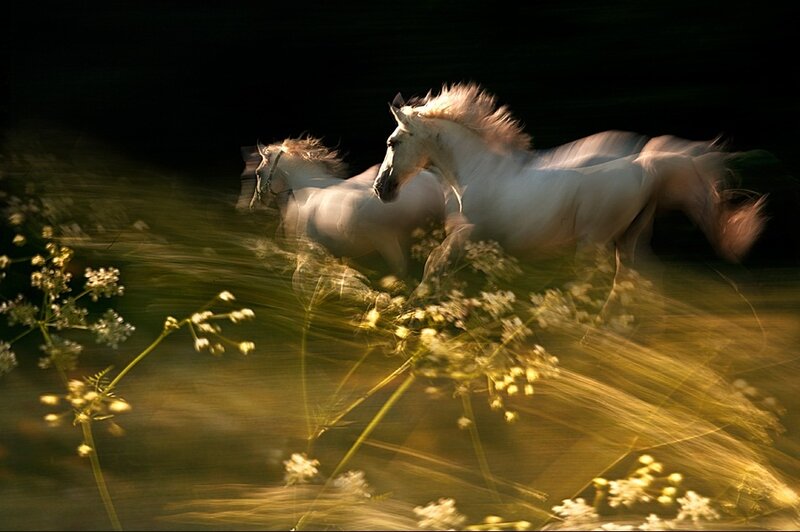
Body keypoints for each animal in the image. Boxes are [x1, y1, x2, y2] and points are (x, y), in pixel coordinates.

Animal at [372, 83, 766, 303]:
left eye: (392, 142)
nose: (380, 188)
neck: (478, 172)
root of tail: (645, 165)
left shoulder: (470, 236)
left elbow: (433, 264)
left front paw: (415, 311)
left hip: (594, 241)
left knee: (604, 284)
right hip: (630, 239)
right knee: (644, 281)